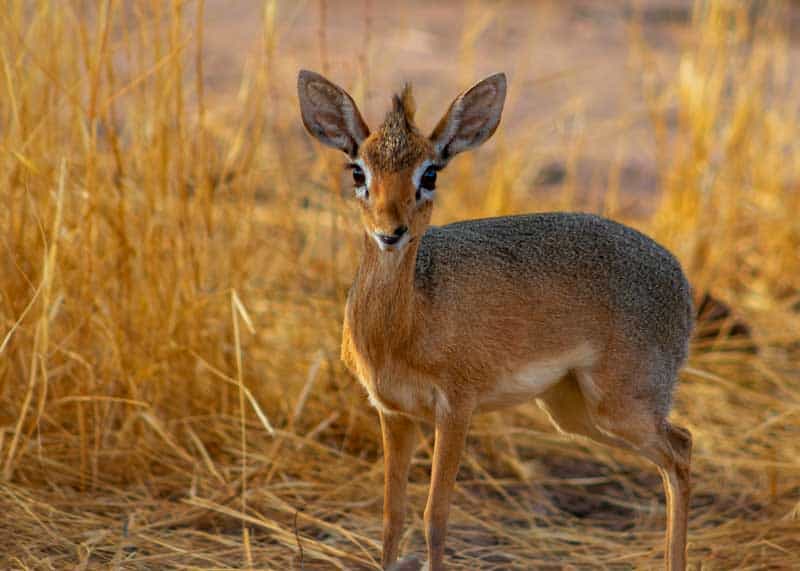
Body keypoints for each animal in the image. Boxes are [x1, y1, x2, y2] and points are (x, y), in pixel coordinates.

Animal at [296, 69, 692, 568]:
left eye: (430, 173)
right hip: (574, 412)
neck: (408, 323)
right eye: (357, 171)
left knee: (682, 450)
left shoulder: (456, 409)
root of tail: (680, 278)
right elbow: (391, 518)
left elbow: (435, 517)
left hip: (623, 406)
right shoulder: (393, 412)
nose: (391, 231)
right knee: (675, 453)